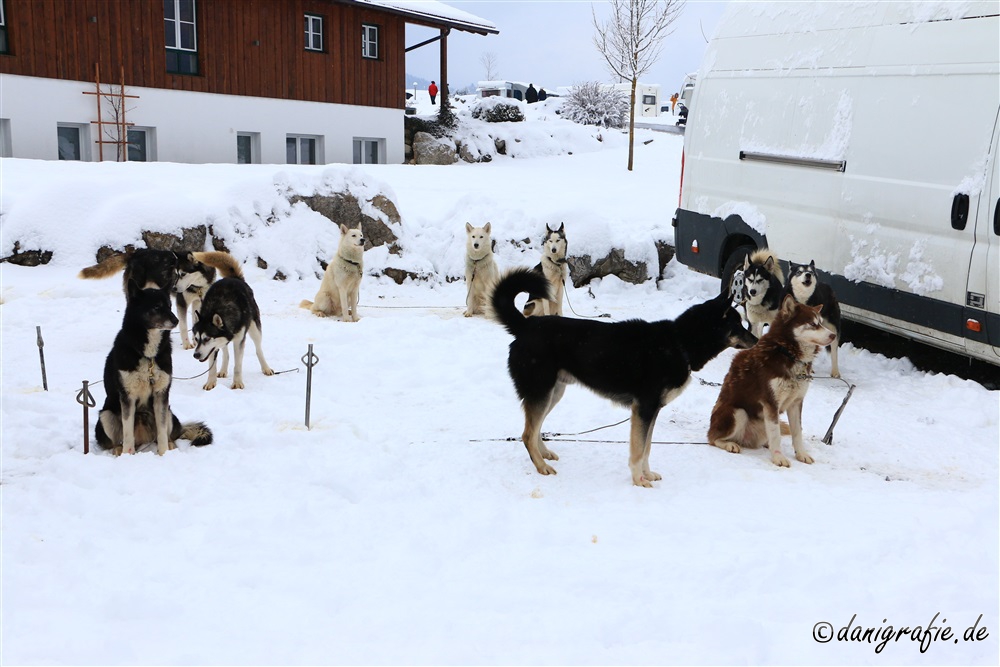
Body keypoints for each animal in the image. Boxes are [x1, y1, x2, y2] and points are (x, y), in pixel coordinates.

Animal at [95, 284, 211, 456]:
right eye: (156, 307)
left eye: (169, 306)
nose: (176, 320)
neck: (148, 356)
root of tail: (142, 440)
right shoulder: (127, 397)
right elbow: (127, 433)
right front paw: (128, 455)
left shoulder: (161, 394)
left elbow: (162, 432)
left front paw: (163, 454)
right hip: (106, 415)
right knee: (116, 440)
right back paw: (118, 449)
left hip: (168, 412)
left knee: (166, 435)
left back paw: (170, 445)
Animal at [191, 258, 274, 392]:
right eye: (196, 339)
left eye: (207, 338)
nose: (196, 355)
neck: (219, 308)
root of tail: (234, 278)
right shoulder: (212, 347)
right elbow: (212, 366)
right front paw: (211, 382)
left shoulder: (239, 341)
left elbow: (238, 365)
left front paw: (237, 383)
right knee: (226, 353)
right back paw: (223, 370)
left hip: (254, 329)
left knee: (258, 349)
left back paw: (266, 368)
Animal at [492, 268, 756, 488]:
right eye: (738, 324)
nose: (756, 339)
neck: (680, 342)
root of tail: (526, 326)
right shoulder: (644, 409)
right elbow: (638, 450)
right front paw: (639, 480)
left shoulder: (651, 411)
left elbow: (647, 448)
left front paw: (647, 474)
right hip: (542, 392)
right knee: (527, 434)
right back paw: (541, 466)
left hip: (553, 392)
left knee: (535, 429)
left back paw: (544, 454)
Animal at [708, 294, 840, 468]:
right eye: (813, 324)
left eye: (821, 323)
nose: (833, 335)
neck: (788, 353)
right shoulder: (770, 403)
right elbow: (776, 435)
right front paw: (779, 458)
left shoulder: (796, 403)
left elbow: (797, 432)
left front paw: (801, 454)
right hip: (737, 413)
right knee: (713, 439)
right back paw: (729, 444)